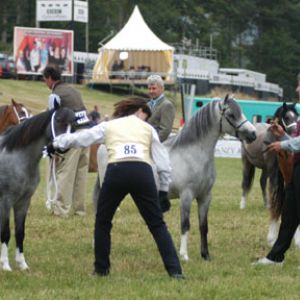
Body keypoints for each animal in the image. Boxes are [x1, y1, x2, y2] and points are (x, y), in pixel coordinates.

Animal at [0, 106, 75, 272]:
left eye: (73, 124)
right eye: (58, 119)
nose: (64, 146)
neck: (17, 158)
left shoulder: (24, 201)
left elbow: (20, 232)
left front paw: (22, 264)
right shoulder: (6, 201)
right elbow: (6, 232)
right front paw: (5, 265)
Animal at [94, 95, 255, 262]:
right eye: (231, 115)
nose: (253, 134)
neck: (193, 155)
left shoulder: (205, 197)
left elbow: (203, 226)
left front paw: (205, 255)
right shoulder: (186, 196)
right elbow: (185, 225)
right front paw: (184, 255)